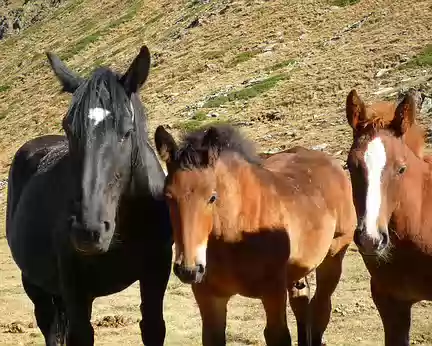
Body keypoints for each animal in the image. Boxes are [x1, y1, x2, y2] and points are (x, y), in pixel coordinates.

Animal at [5, 46, 173, 346]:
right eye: (69, 128)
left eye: (127, 131)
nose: (89, 230)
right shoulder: (74, 288)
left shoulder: (156, 275)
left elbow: (153, 327)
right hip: (35, 285)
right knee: (49, 326)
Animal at [154, 124, 354, 346]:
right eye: (168, 196)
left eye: (212, 197)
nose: (188, 270)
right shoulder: (210, 298)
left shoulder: (273, 292)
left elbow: (277, 334)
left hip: (333, 257)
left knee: (321, 308)